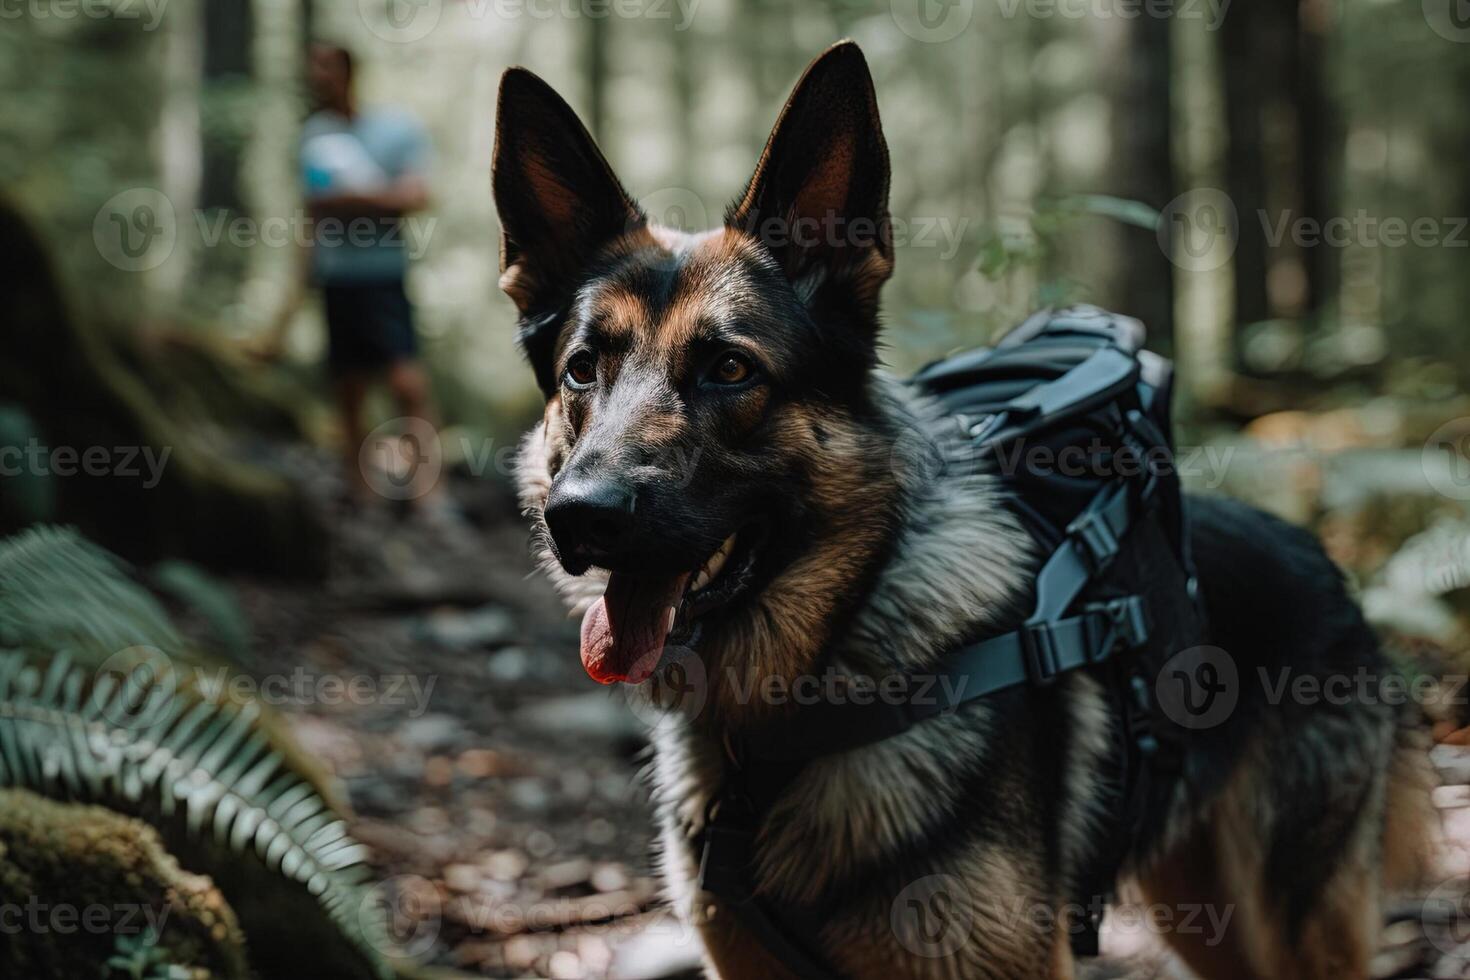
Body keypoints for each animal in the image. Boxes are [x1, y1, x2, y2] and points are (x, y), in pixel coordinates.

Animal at [493, 40, 1434, 980]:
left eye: (730, 369)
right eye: (582, 370)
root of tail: (1322, 555)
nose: (581, 515)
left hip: (1295, 925)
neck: (782, 724)